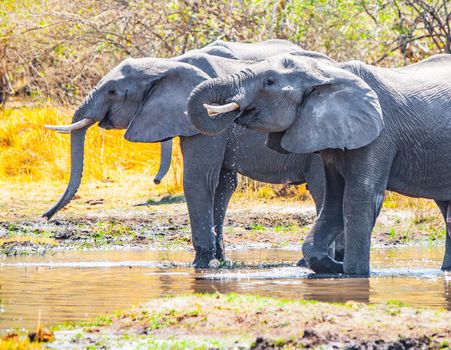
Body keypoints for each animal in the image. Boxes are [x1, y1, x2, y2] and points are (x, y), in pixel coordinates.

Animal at [44, 39, 344, 266]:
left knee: (321, 190)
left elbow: (198, 179)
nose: (45, 217)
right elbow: (223, 184)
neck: (168, 63)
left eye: (113, 91)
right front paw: (219, 261)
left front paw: (201, 264)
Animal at [186, 53, 451, 274]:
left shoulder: (380, 135)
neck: (326, 73)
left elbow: (358, 200)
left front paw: (355, 274)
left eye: (269, 82)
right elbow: (333, 202)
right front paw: (332, 266)